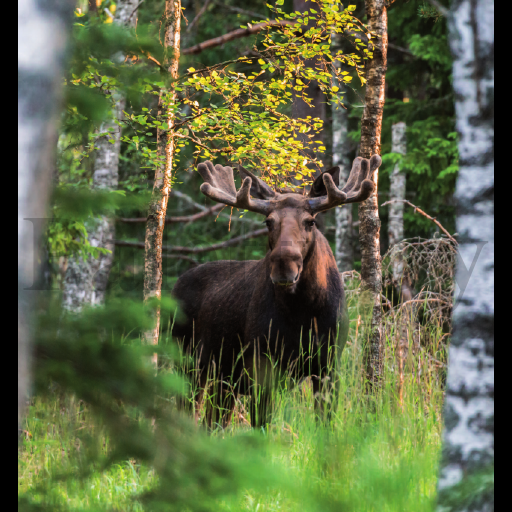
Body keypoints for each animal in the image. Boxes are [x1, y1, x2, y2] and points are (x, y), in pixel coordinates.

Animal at [172, 154, 380, 430]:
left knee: (211, 421)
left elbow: (325, 424)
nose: (284, 265)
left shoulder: (329, 362)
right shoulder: (261, 363)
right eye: (268, 221)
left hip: (223, 378)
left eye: (310, 221)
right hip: (187, 362)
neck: (303, 311)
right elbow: (261, 425)